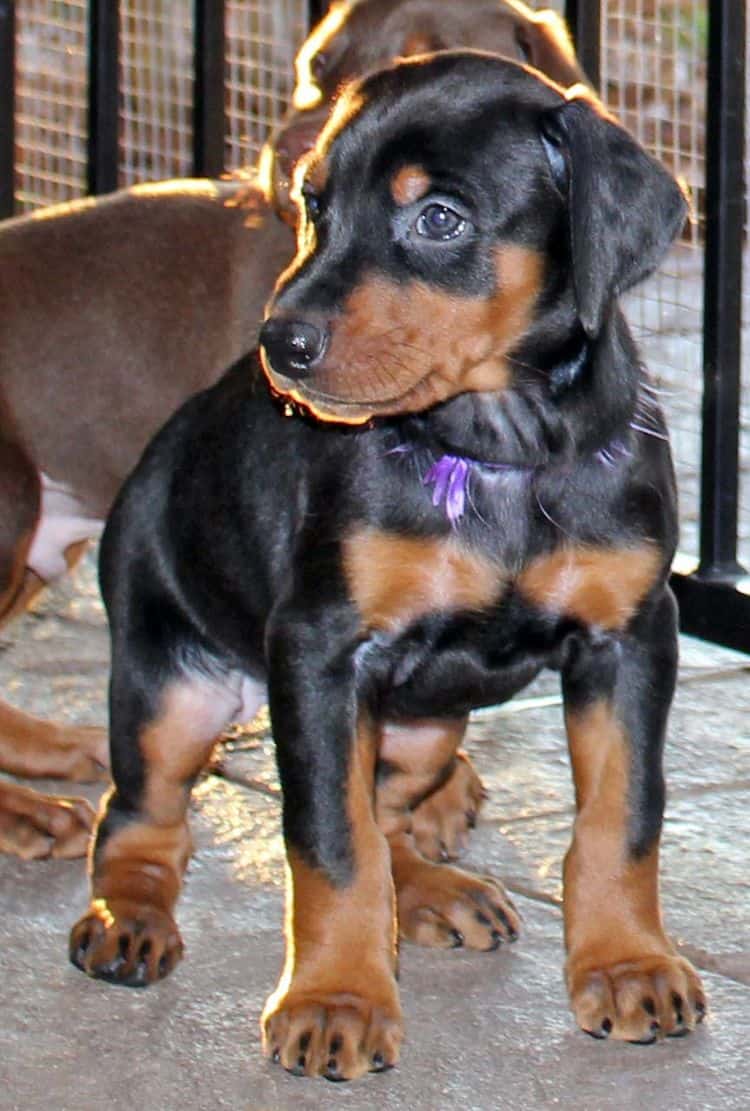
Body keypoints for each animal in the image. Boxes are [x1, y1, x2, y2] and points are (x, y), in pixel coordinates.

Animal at [68, 52, 702, 1075]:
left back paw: (438, 892)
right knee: (140, 812)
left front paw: (626, 964)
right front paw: (337, 999)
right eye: (313, 203)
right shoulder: (321, 650)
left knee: (391, 810)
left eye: (438, 219)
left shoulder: (632, 639)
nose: (279, 345)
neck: (497, 452)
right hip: (174, 685)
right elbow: (332, 842)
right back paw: (127, 917)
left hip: (423, 726)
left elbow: (622, 816)